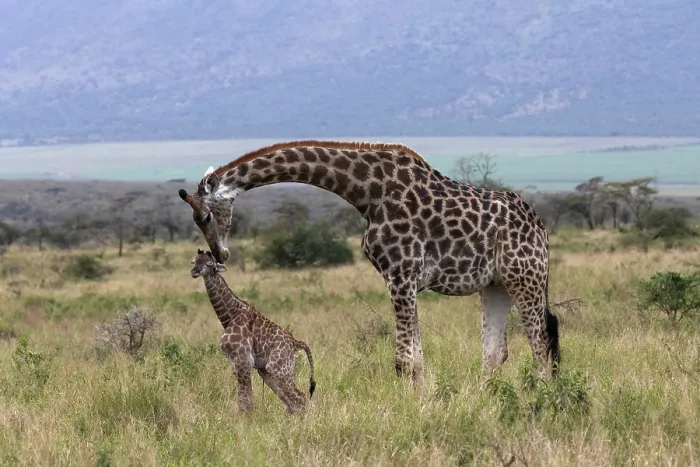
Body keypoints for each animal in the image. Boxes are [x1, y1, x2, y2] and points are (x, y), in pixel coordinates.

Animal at [178, 140, 560, 392]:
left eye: (205, 216)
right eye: (195, 220)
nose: (220, 253)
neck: (366, 193)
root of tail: (540, 225)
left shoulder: (401, 275)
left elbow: (404, 359)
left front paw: (412, 410)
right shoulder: (401, 279)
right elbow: (415, 358)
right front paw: (422, 403)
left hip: (525, 277)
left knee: (541, 342)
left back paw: (541, 401)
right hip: (495, 285)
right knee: (496, 352)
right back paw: (484, 402)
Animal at [190, 248, 316, 413]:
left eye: (210, 264)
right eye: (193, 261)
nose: (194, 271)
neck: (230, 315)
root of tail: (295, 342)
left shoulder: (242, 360)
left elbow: (245, 401)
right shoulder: (237, 363)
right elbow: (246, 399)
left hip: (278, 368)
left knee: (301, 398)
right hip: (268, 371)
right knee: (293, 402)